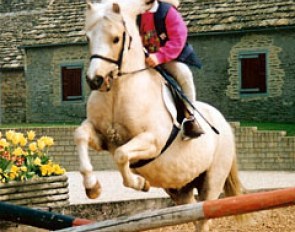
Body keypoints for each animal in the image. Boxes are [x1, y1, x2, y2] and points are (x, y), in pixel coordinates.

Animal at [74, 0, 243, 231]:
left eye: (116, 38)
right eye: (87, 38)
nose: (95, 80)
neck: (118, 90)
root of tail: (224, 123)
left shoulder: (152, 141)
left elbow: (122, 155)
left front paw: (139, 183)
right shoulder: (102, 138)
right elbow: (80, 135)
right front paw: (93, 187)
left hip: (212, 181)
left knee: (203, 216)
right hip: (179, 187)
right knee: (190, 210)